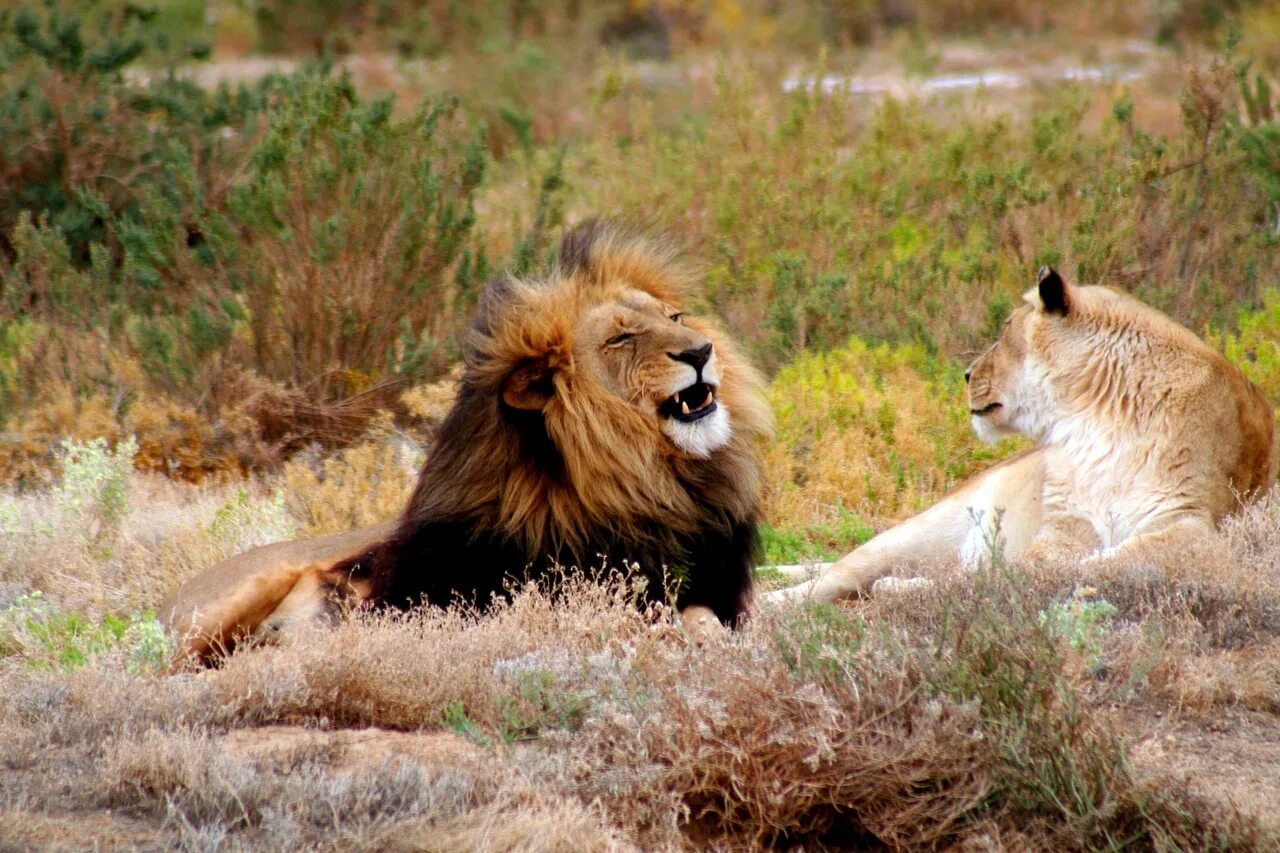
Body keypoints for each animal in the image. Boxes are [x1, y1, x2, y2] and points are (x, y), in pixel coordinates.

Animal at [166, 222, 773, 660]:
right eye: (621, 338)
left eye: (676, 317)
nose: (701, 351)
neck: (657, 481)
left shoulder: (719, 587)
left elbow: (706, 615)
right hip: (229, 601)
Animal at [762, 268, 1274, 601]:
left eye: (1006, 331)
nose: (967, 374)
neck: (1095, 420)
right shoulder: (1064, 526)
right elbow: (1035, 566)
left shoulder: (1194, 520)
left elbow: (1116, 558)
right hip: (907, 536)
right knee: (821, 583)